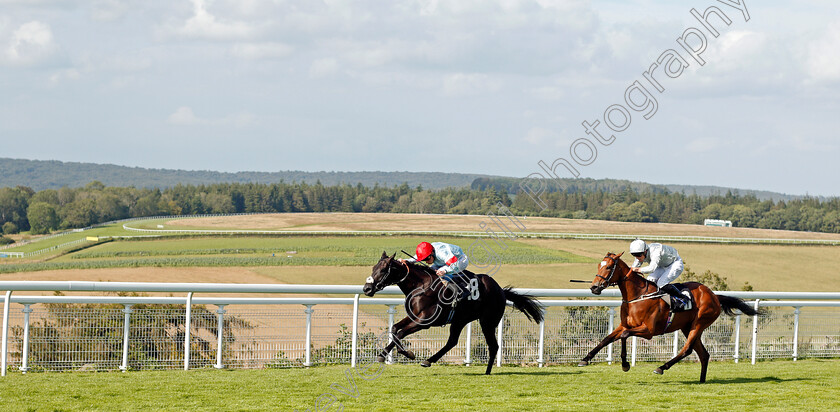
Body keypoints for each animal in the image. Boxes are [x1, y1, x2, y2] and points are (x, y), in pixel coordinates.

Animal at [362, 251, 544, 374]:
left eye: (384, 269)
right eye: (373, 268)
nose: (366, 288)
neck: (421, 286)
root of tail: (501, 291)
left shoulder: (424, 322)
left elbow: (401, 333)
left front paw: (408, 353)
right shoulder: (413, 317)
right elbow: (394, 330)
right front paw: (382, 354)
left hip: (487, 322)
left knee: (493, 345)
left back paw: (487, 372)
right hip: (460, 320)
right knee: (452, 341)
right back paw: (429, 361)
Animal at [576, 251, 760, 384]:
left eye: (608, 267)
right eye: (599, 265)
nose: (594, 288)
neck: (637, 296)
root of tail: (714, 295)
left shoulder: (648, 331)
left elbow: (624, 335)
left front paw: (625, 364)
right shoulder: (625, 324)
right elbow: (607, 339)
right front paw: (585, 359)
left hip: (699, 324)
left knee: (687, 349)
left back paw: (661, 368)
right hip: (687, 327)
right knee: (704, 354)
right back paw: (701, 381)